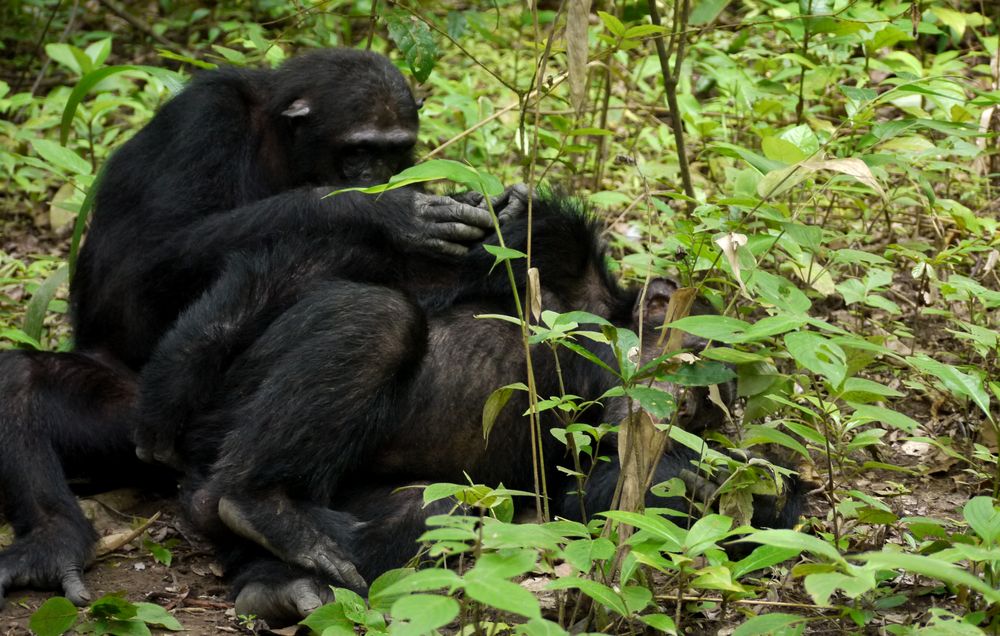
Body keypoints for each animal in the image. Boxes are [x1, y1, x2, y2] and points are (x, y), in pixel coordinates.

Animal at [133, 191, 804, 624]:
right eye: (690, 379)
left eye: (702, 415)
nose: (679, 419)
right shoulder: (552, 263)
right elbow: (389, 261)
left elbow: (596, 497)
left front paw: (709, 485)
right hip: (227, 423)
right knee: (375, 316)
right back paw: (258, 503)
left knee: (441, 506)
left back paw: (276, 587)